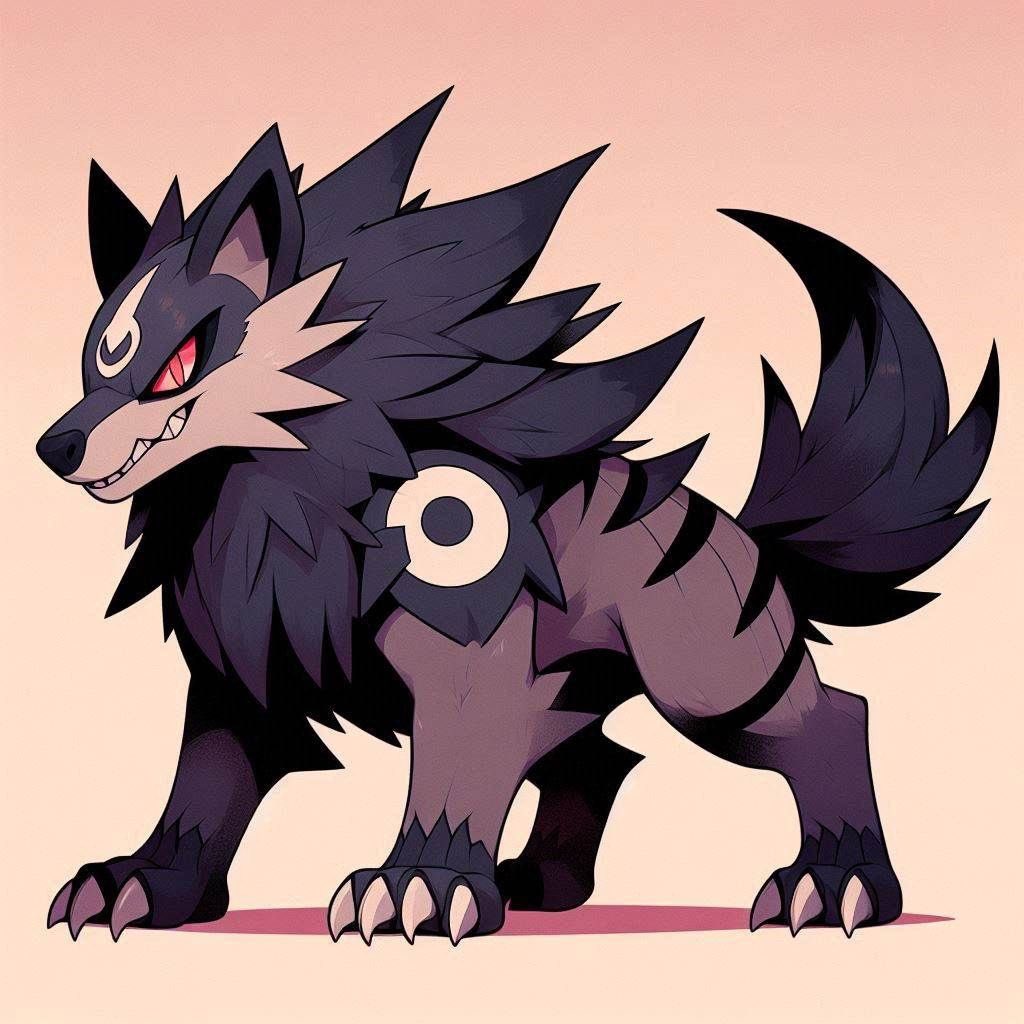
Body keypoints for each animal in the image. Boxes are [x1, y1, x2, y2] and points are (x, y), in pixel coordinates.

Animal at [37, 90, 998, 945]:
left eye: (176, 359)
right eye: (95, 358)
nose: (55, 445)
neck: (271, 501)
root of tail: (747, 532)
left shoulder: (470, 664)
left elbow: (452, 769)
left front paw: (416, 887)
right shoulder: (247, 676)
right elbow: (199, 791)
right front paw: (141, 884)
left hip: (708, 676)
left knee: (834, 717)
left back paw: (835, 884)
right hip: (581, 683)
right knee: (600, 759)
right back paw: (542, 880)